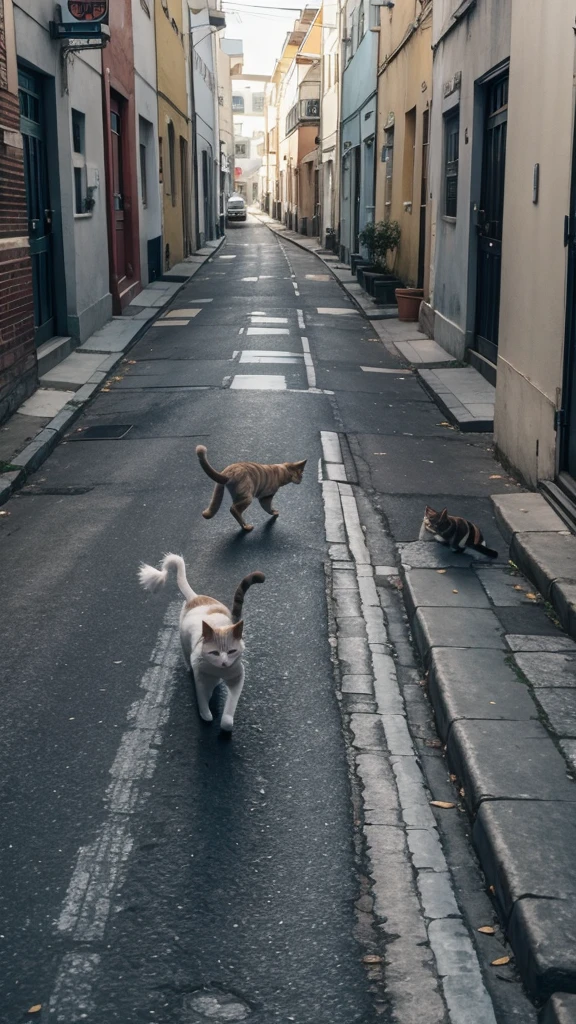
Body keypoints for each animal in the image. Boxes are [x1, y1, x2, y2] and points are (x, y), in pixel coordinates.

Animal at [139, 557, 264, 733]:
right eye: (214, 653)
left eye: (232, 651)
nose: (224, 662)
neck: (219, 671)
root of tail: (195, 597)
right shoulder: (201, 678)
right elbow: (203, 699)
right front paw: (206, 715)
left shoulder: (237, 678)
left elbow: (230, 709)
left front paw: (226, 724)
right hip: (183, 641)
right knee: (186, 655)